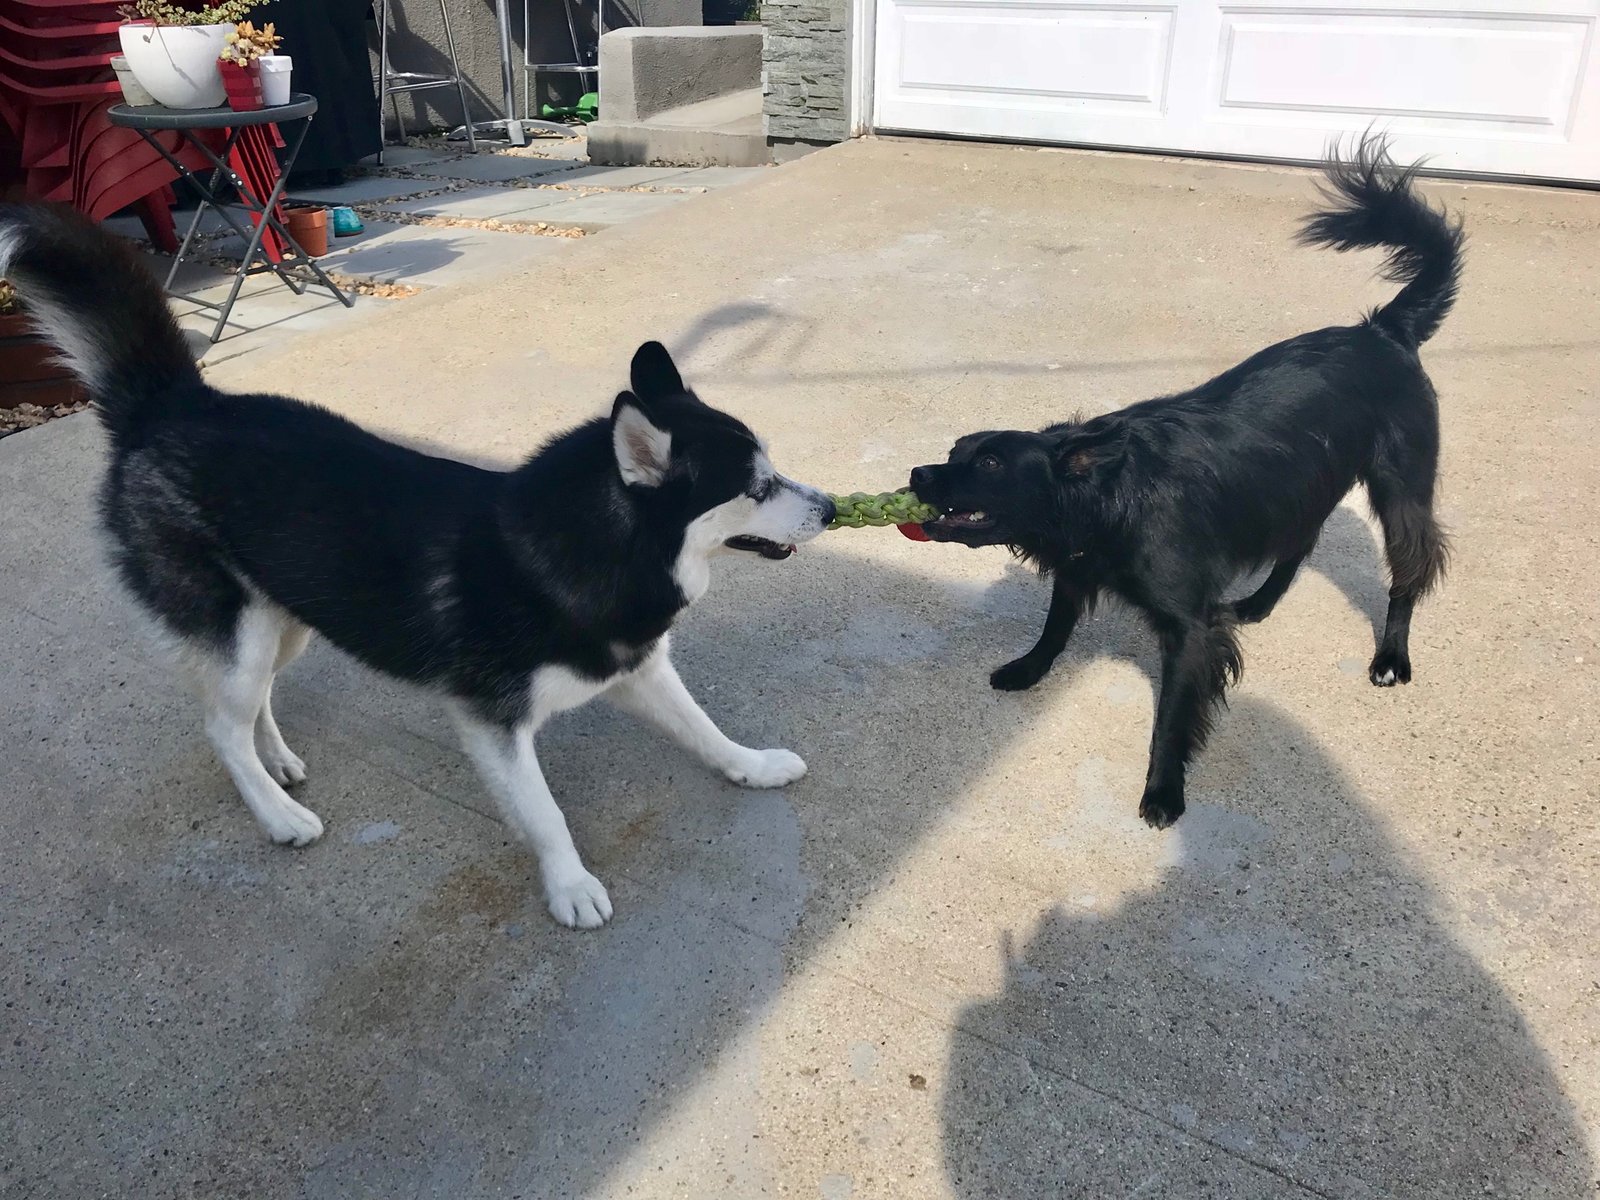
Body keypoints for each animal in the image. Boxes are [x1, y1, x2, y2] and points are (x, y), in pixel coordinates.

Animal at [0, 203, 835, 928]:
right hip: (237, 632)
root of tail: (174, 404)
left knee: (253, 703)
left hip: (286, 623)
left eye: (774, 471)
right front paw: (570, 886)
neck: (584, 550)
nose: (830, 507)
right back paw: (278, 813)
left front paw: (753, 766)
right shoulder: (494, 723)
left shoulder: (635, 668)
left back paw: (279, 761)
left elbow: (704, 729)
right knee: (219, 727)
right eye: (757, 488)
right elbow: (545, 813)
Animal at [908, 137, 1460, 828]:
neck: (1111, 495)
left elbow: (1172, 716)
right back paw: (1258, 602)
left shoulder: (1191, 631)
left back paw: (1390, 657)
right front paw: (1029, 669)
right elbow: (1055, 627)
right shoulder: (1077, 568)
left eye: (989, 465)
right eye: (955, 451)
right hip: (1297, 483)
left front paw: (1163, 790)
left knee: (1411, 569)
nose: (917, 474)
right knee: (1301, 540)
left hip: (1400, 488)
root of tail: (1383, 328)